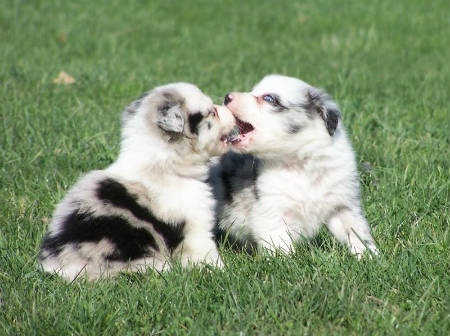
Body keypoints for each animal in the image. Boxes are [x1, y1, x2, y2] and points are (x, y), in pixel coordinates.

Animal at [39, 82, 236, 280]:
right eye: (212, 112)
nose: (228, 106)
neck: (165, 167)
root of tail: (60, 267)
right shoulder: (195, 227)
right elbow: (205, 253)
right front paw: (218, 271)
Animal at [212, 73, 380, 258]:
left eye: (269, 98)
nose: (227, 96)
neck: (301, 164)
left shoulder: (343, 205)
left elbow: (357, 233)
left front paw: (370, 256)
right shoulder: (273, 210)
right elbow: (280, 245)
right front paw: (286, 261)